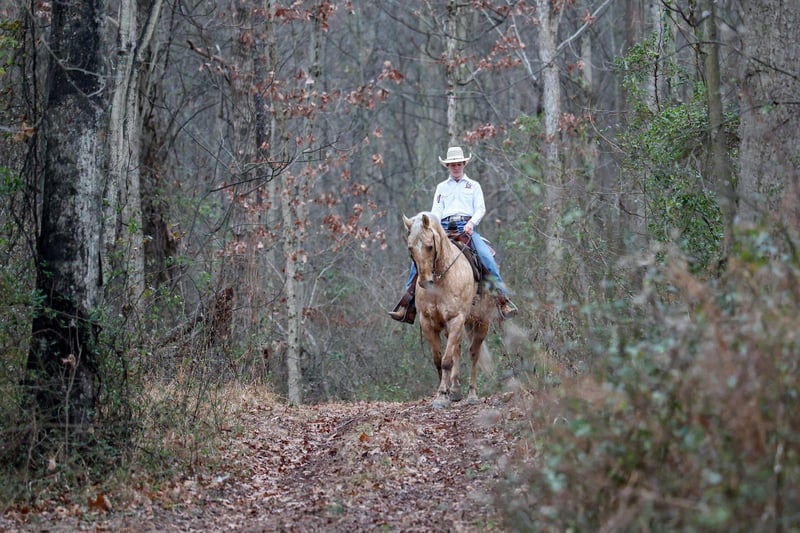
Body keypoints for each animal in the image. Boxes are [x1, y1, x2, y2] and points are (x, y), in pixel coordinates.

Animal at [404, 211, 496, 409]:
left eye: (430, 246)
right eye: (410, 248)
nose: (425, 282)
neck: (441, 280)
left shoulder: (456, 319)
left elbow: (446, 361)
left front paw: (441, 397)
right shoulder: (429, 322)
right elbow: (439, 359)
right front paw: (444, 393)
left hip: (481, 323)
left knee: (473, 353)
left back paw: (471, 395)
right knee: (457, 351)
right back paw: (455, 391)